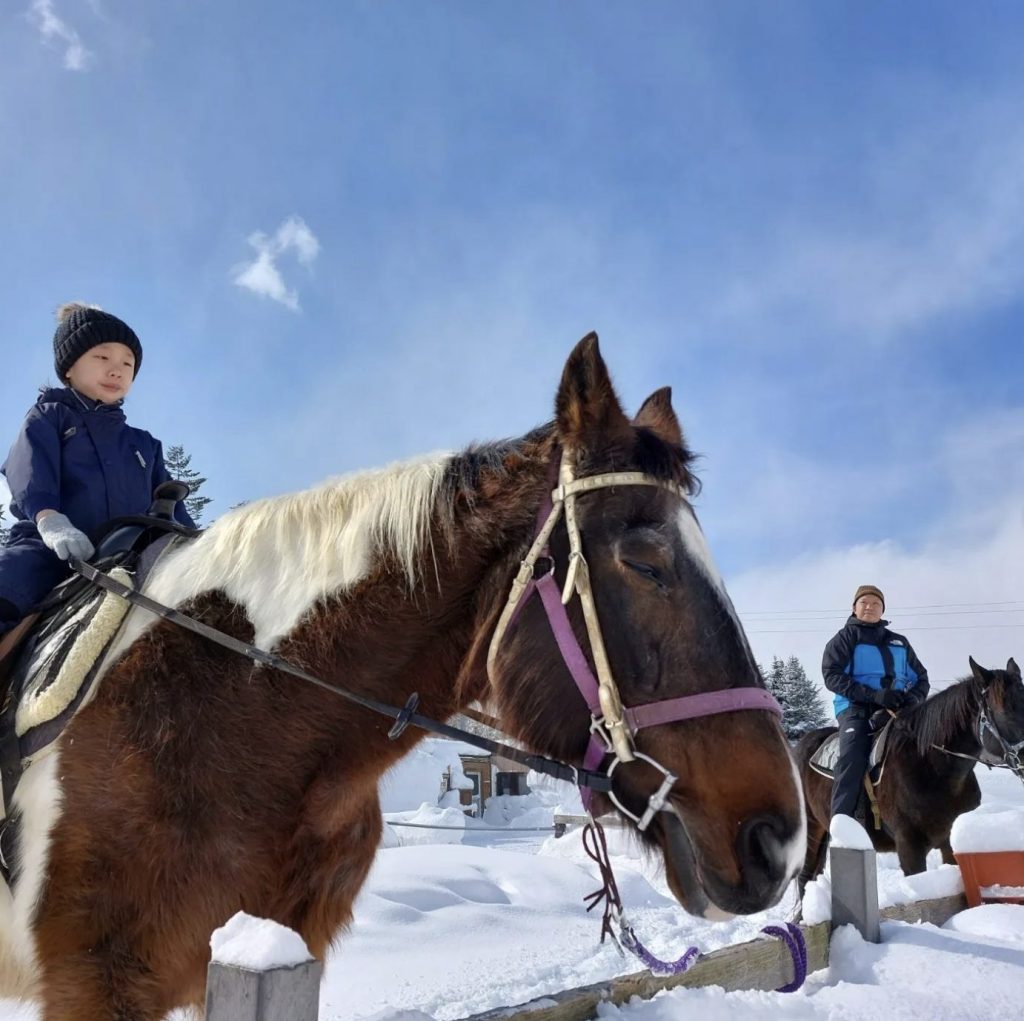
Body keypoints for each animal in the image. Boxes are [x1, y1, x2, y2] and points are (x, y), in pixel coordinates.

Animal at [794, 655, 1024, 888]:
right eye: (1004, 712)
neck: (932, 770)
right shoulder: (909, 848)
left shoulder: (949, 844)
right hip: (811, 831)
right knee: (804, 878)